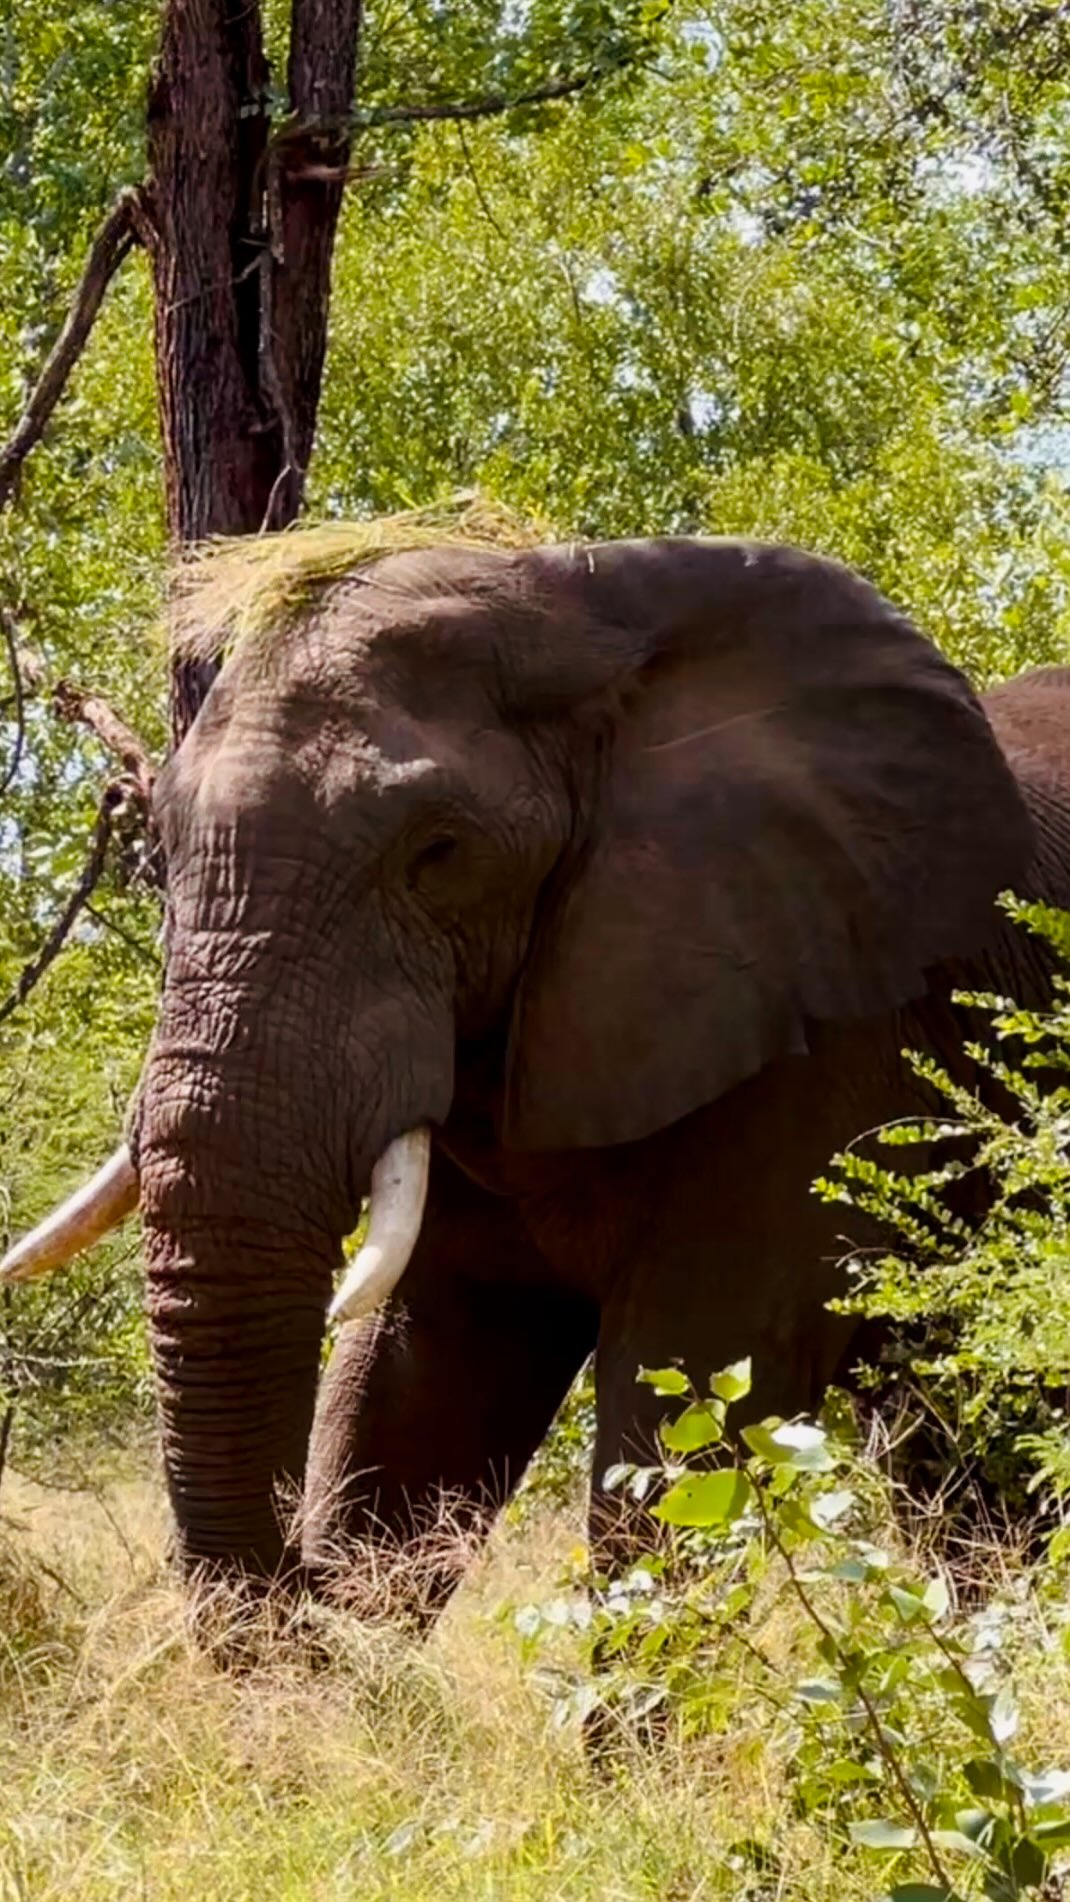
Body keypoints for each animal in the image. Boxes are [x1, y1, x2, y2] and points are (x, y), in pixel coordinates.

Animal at [6, 529, 1070, 1611]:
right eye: (158, 846)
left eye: (438, 852)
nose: (300, 1582)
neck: (585, 617)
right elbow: (419, 1384)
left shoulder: (828, 1029)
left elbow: (696, 1392)